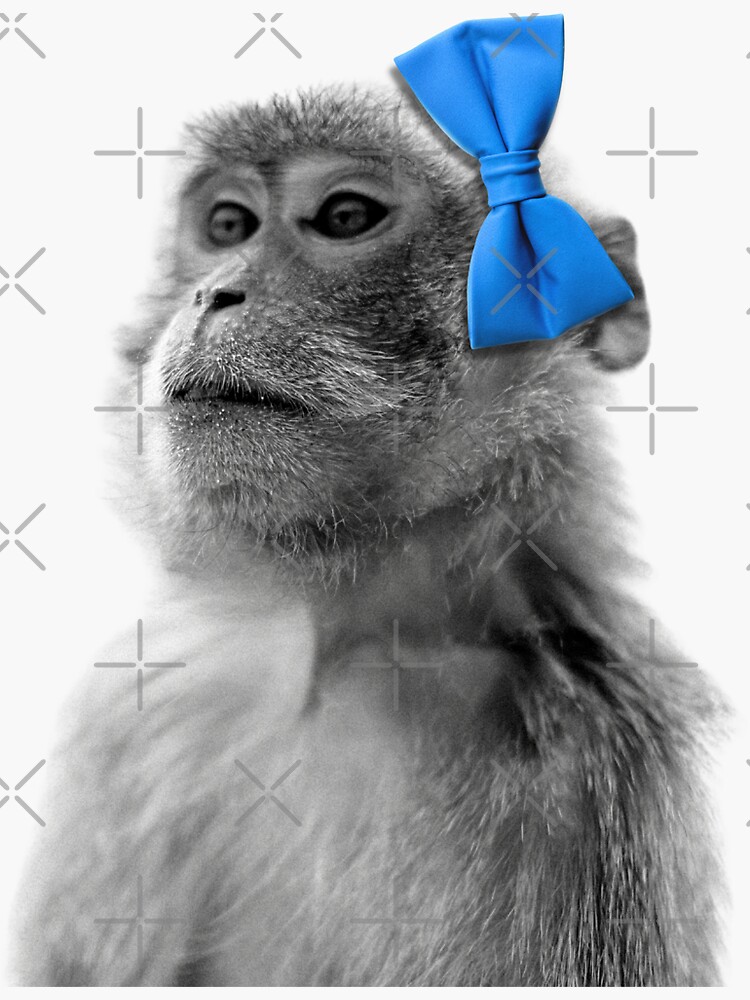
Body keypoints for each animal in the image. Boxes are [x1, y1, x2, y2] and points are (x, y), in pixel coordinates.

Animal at [12, 86, 724, 986]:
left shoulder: (581, 779)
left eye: (346, 216)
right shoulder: (142, 701)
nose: (214, 294)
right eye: (228, 225)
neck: (336, 644)